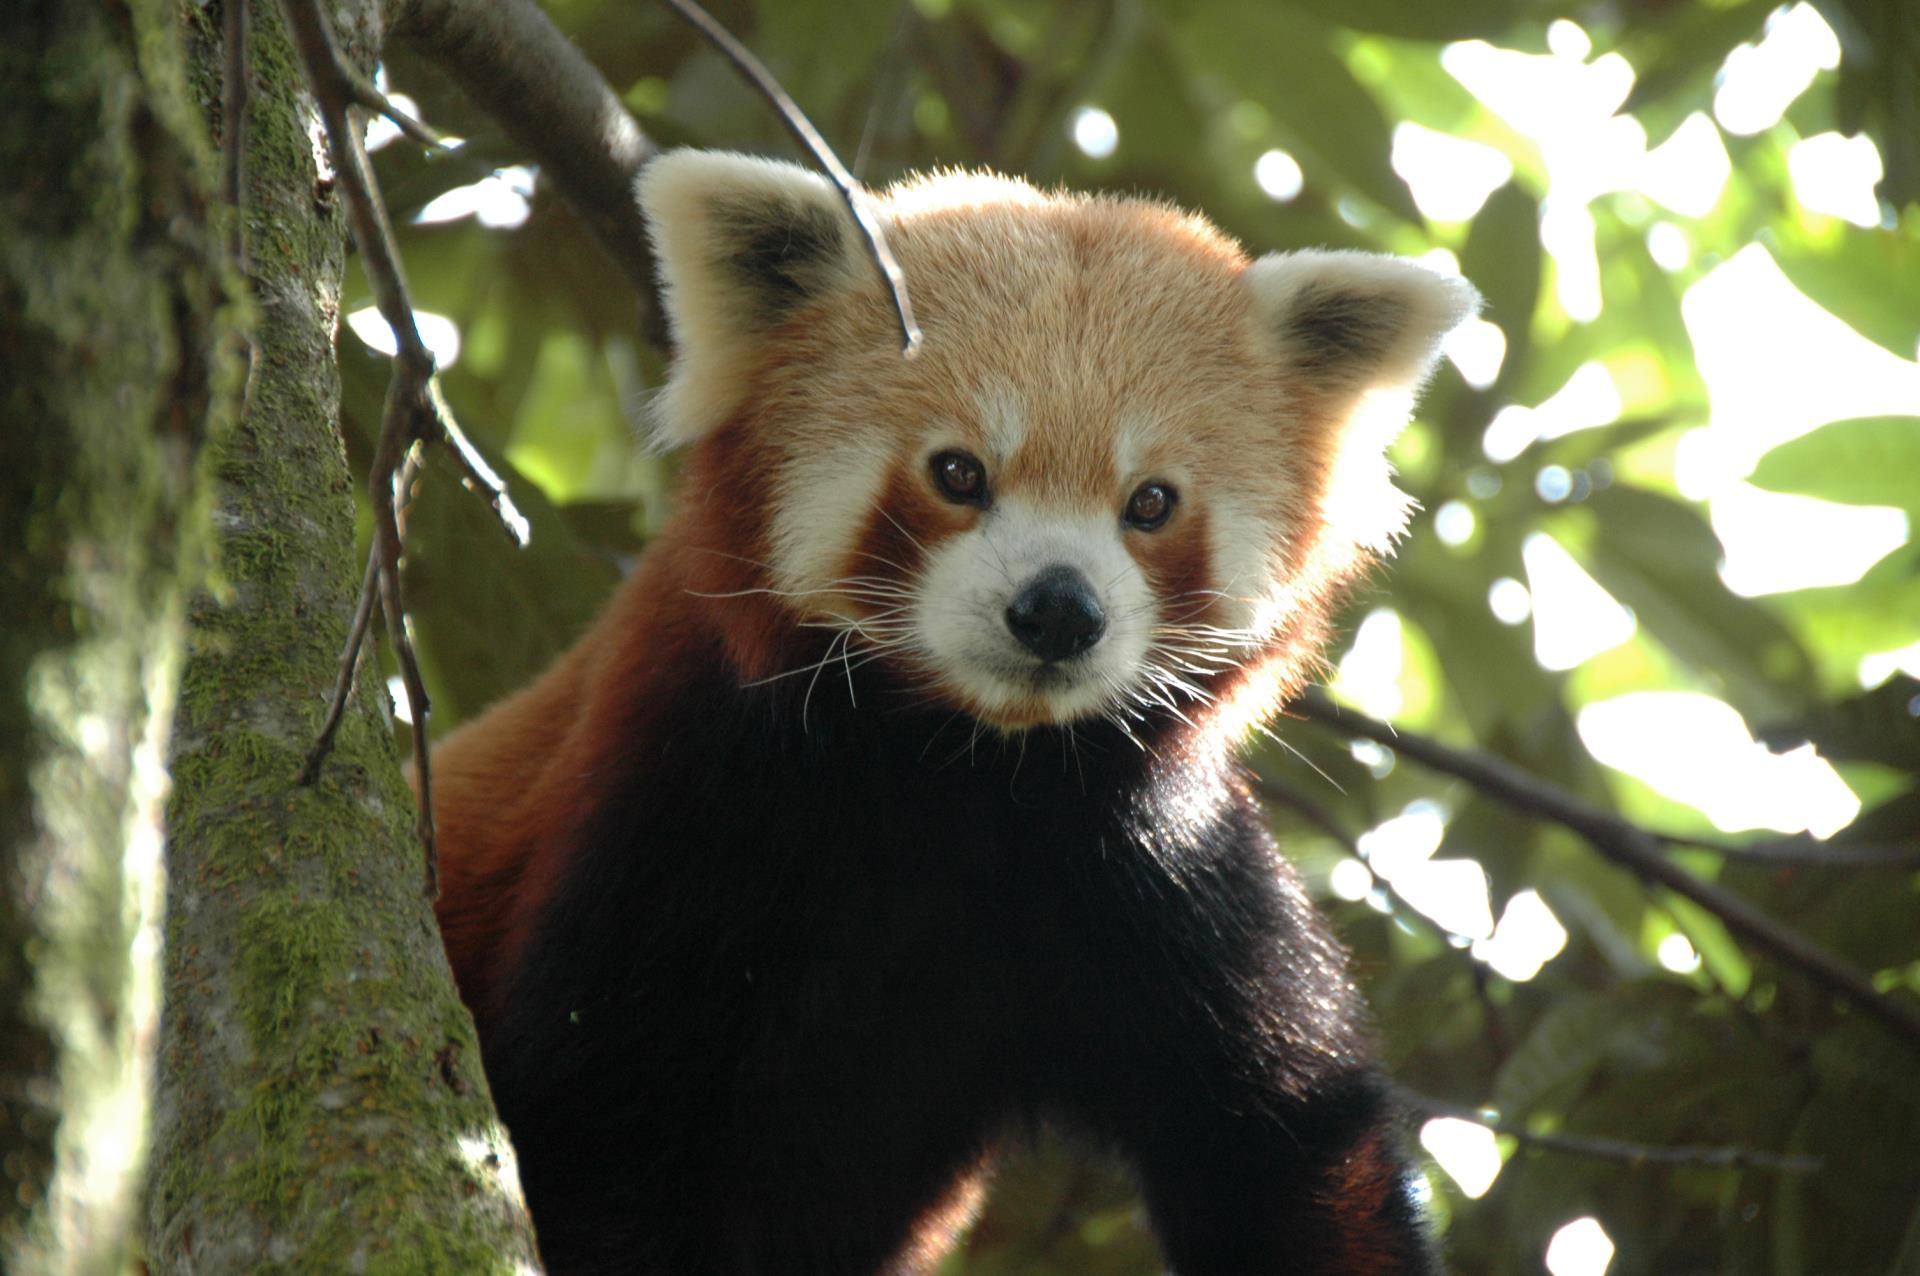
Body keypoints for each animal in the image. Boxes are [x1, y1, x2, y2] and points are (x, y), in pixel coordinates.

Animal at [435, 143, 1474, 1266]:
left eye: (1151, 502)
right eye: (958, 473)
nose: (1059, 609)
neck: (960, 777)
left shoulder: (1159, 861)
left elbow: (1288, 1152)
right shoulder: (685, 799)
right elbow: (592, 1130)